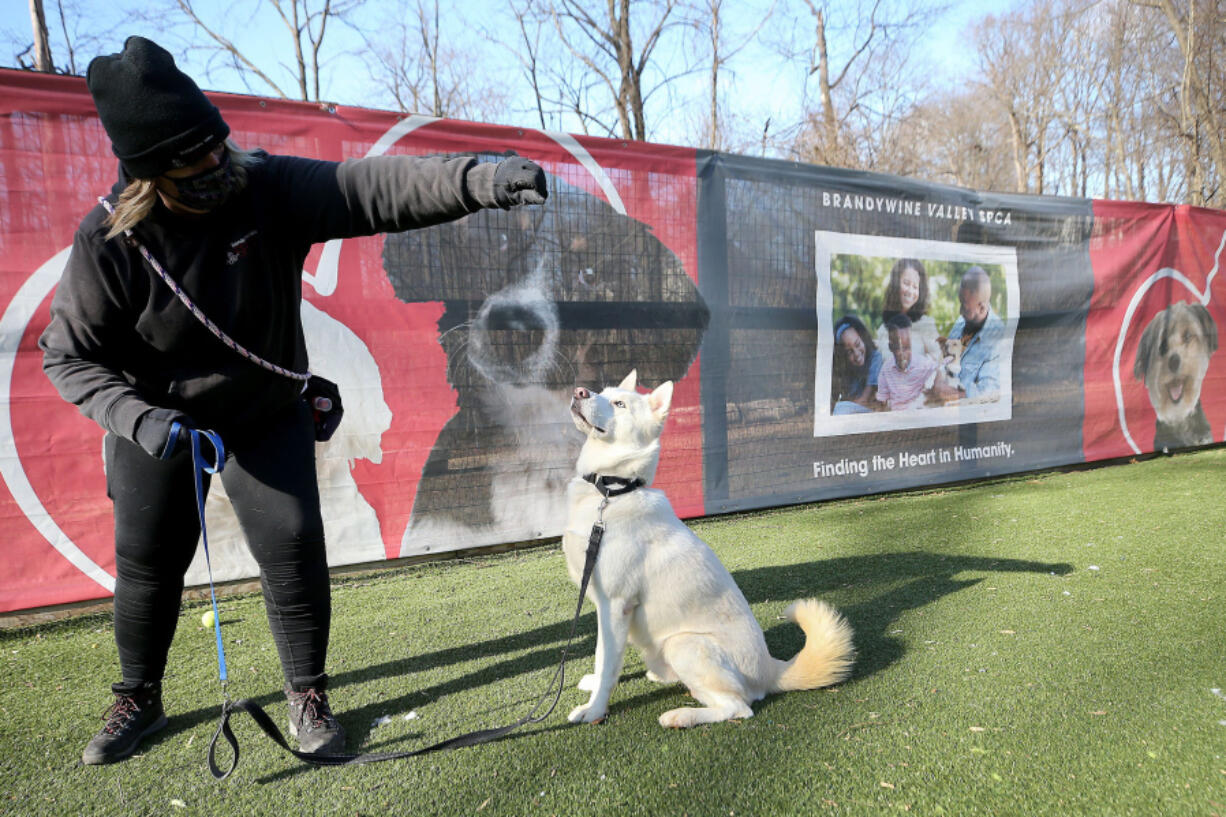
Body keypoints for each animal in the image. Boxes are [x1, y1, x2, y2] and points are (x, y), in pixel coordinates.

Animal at [561, 370, 853, 726]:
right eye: (601, 392)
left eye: (619, 404)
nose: (579, 391)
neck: (612, 493)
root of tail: (772, 669)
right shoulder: (604, 607)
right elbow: (602, 658)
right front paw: (593, 686)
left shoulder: (616, 605)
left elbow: (607, 664)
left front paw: (594, 709)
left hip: (684, 644)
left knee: (738, 707)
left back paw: (681, 716)